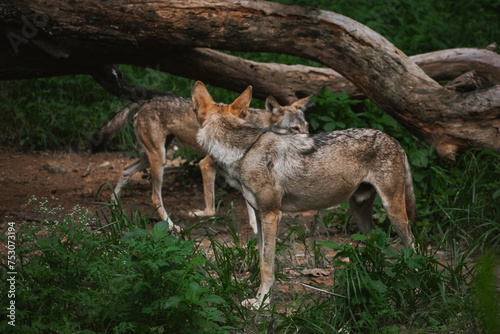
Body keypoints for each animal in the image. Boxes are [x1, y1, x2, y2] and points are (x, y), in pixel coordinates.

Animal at [111, 92, 310, 232]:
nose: (310, 139)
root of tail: (146, 101)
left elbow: (251, 205)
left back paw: (114, 204)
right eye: (294, 128)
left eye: (306, 126)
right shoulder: (206, 164)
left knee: (125, 170)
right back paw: (172, 226)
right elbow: (212, 208)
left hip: (153, 157)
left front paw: (255, 228)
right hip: (160, 160)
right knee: (154, 196)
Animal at [193, 81, 416, 308]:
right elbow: (262, 260)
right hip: (360, 213)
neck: (245, 152)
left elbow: (267, 266)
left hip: (393, 212)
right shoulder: (259, 214)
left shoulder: (271, 215)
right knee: (376, 245)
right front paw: (258, 298)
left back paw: (414, 284)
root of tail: (394, 140)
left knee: (412, 245)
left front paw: (262, 302)